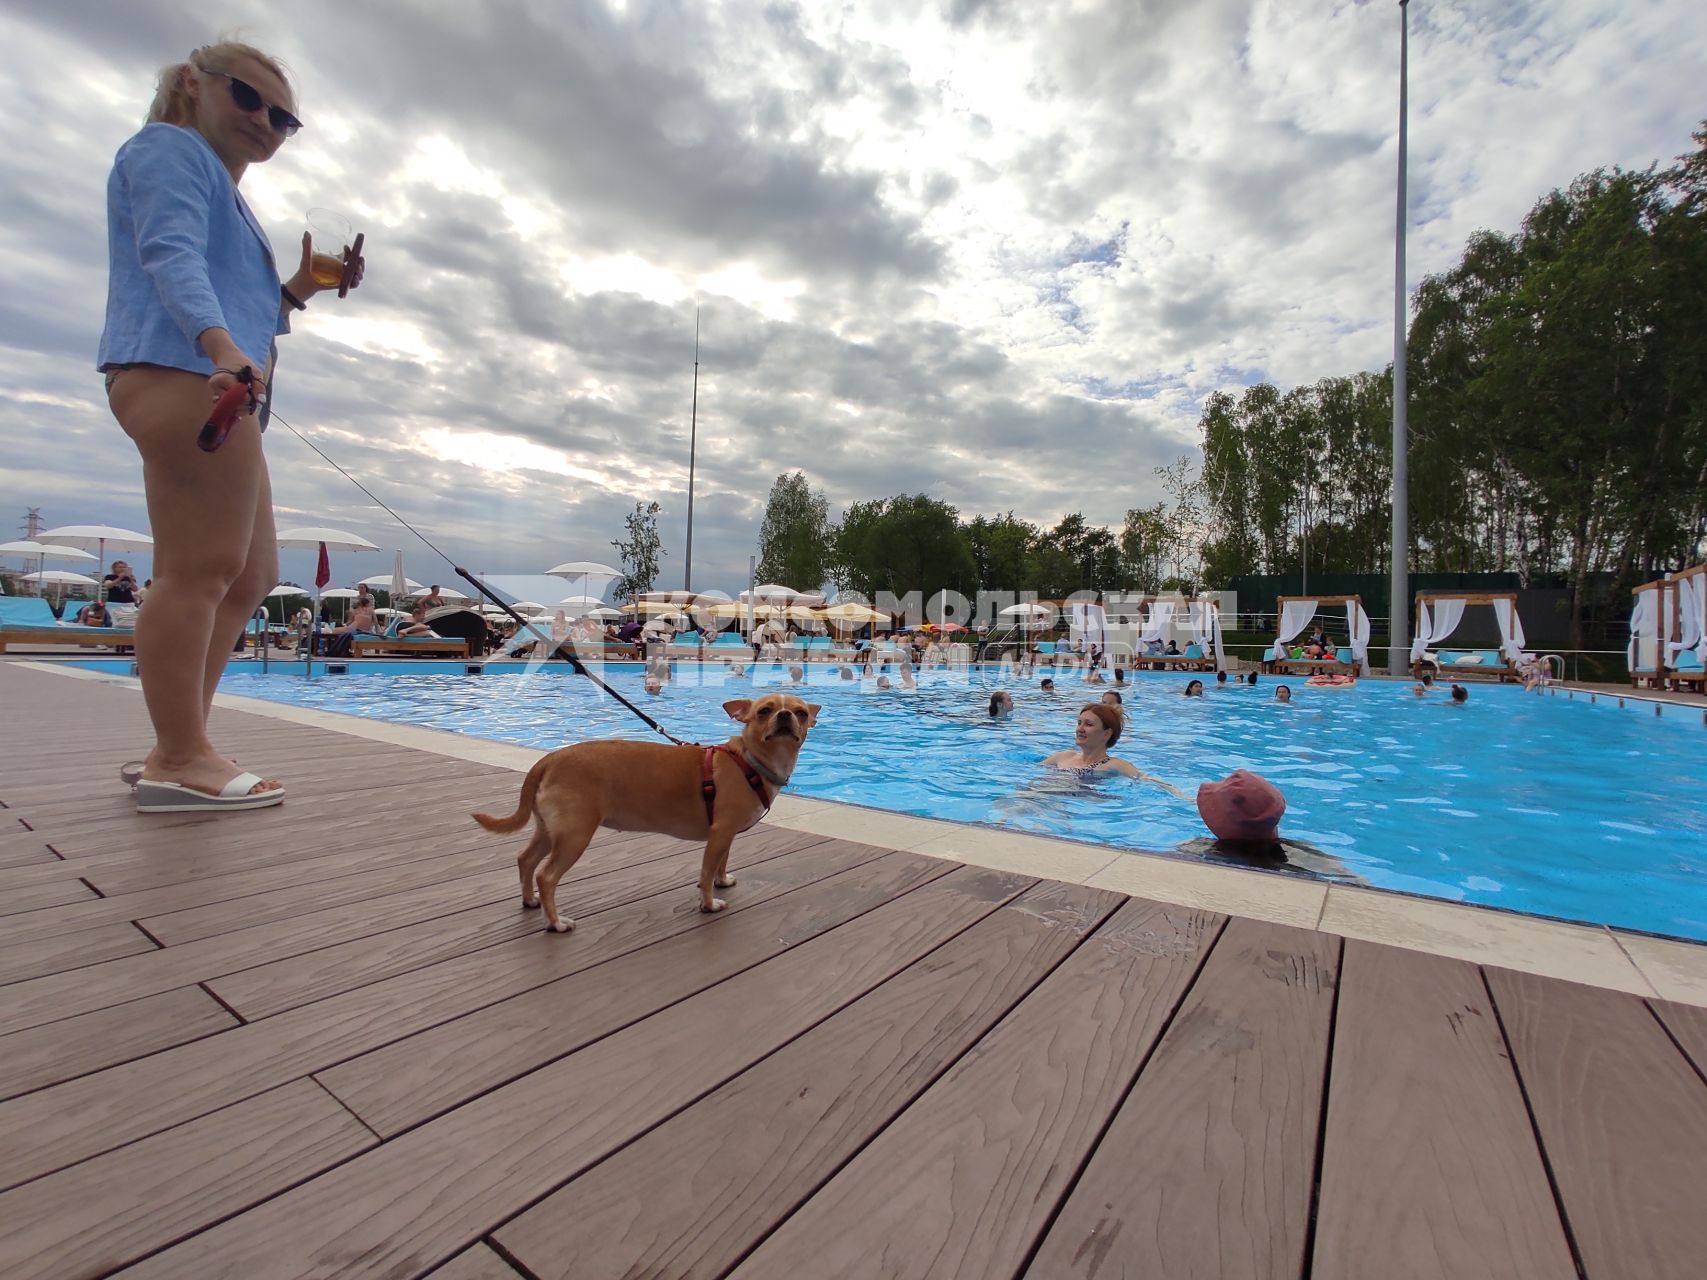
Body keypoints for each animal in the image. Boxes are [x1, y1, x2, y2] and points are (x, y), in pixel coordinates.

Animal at [464, 692, 815, 935]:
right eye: (764, 710)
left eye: (800, 712)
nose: (786, 715)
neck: (750, 761)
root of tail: (549, 759)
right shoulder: (720, 832)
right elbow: (704, 873)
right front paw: (708, 902)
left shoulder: (724, 836)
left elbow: (720, 863)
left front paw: (722, 880)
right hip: (574, 836)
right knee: (546, 876)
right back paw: (557, 922)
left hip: (549, 831)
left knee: (525, 860)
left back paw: (530, 900)